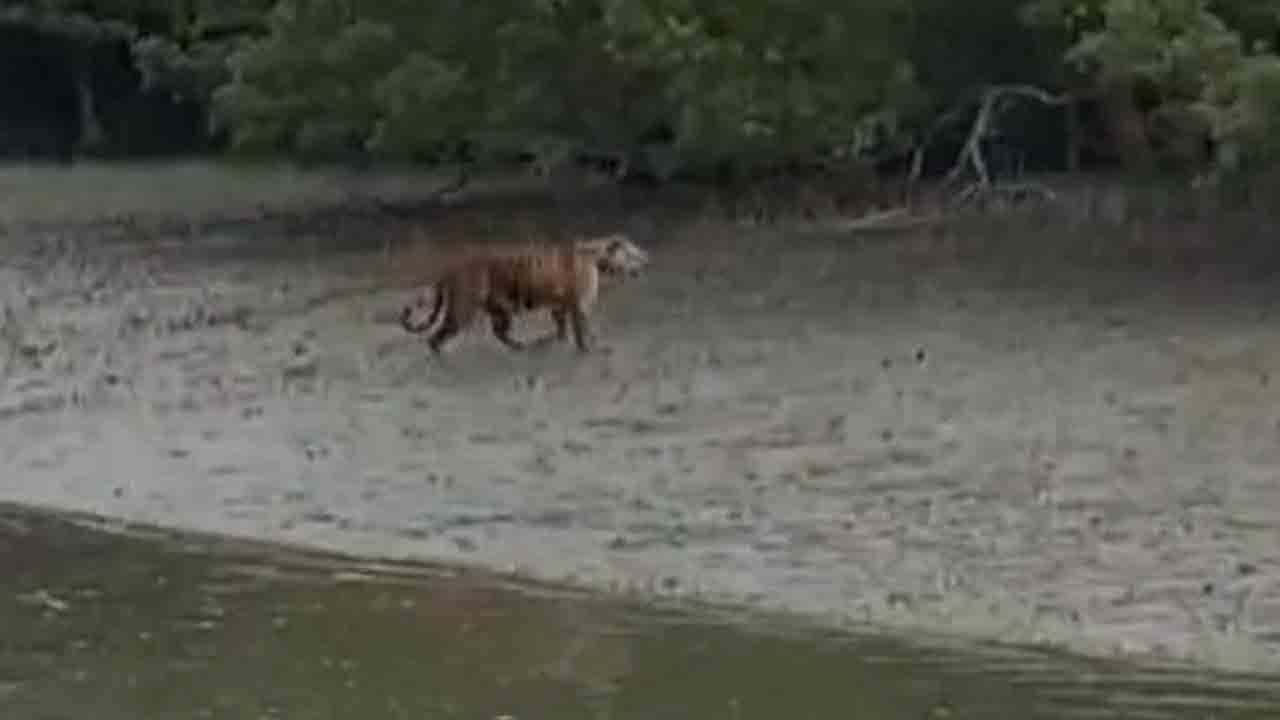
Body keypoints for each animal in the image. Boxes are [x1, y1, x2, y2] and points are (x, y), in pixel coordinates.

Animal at [399, 230, 650, 351]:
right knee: (435, 338)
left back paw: (523, 346)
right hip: (464, 309)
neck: (599, 258)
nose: (647, 260)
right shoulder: (580, 305)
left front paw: (558, 339)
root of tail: (449, 269)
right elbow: (584, 329)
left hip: (500, 309)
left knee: (500, 332)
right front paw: (590, 348)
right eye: (634, 254)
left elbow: (562, 325)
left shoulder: (561, 305)